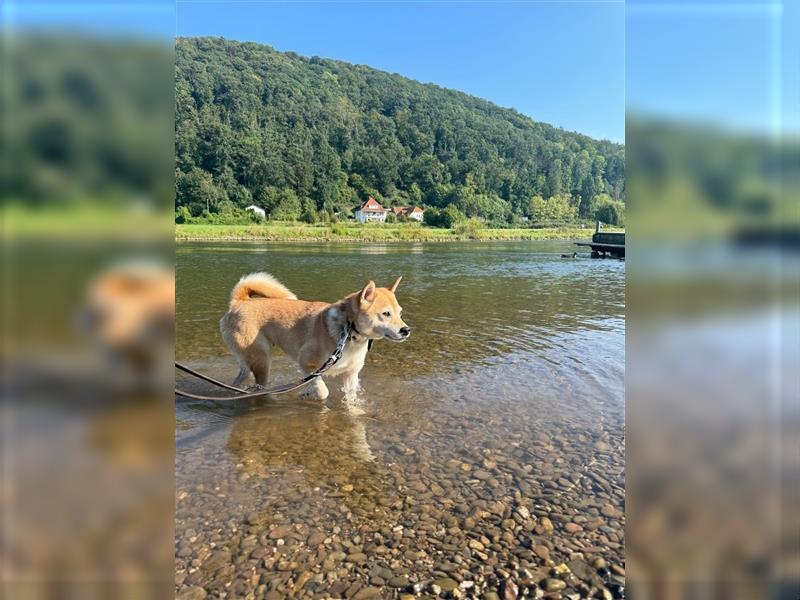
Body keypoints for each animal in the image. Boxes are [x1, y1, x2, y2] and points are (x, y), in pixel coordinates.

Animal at [219, 276, 410, 398]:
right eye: (386, 313)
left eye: (400, 313)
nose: (406, 330)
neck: (348, 332)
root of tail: (240, 301)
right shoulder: (307, 364)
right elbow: (322, 390)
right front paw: (308, 393)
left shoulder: (350, 375)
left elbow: (352, 401)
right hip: (262, 360)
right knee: (259, 384)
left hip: (250, 358)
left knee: (241, 377)